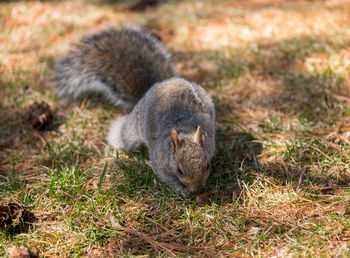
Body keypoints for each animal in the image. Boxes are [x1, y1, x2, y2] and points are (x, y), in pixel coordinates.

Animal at [51, 25, 216, 196]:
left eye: (207, 165)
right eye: (179, 170)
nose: (198, 190)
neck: (183, 130)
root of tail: (160, 84)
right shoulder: (159, 162)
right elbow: (166, 177)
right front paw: (181, 189)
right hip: (131, 129)